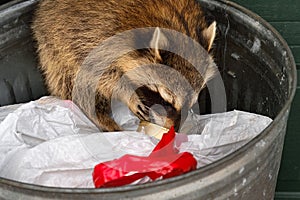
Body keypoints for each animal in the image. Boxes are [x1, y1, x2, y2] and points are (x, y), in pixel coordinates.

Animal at [32, 0, 216, 132]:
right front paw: (128, 94)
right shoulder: (96, 39)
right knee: (75, 85)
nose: (174, 130)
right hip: (54, 47)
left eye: (191, 102)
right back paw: (101, 118)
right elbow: (99, 74)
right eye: (166, 100)